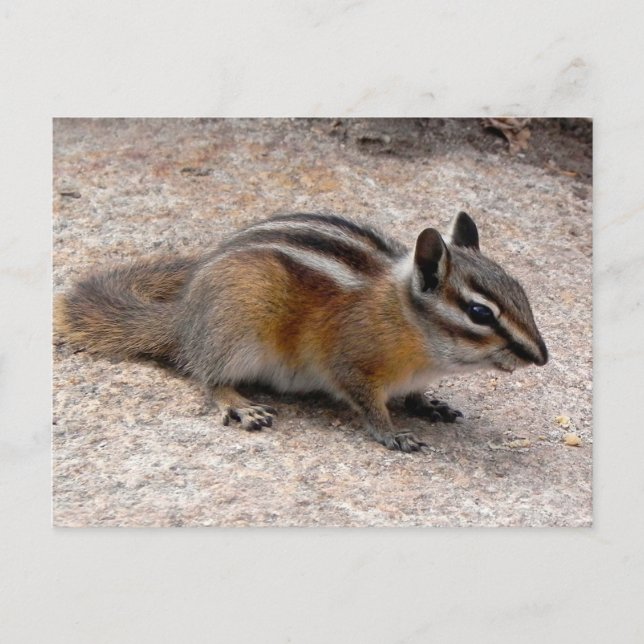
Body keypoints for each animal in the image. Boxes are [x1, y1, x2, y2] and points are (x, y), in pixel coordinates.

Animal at [54, 211, 548, 452]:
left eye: (522, 290)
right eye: (479, 313)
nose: (542, 357)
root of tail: (185, 318)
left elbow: (414, 394)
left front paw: (428, 404)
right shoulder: (348, 362)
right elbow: (368, 403)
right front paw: (391, 432)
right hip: (238, 327)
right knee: (208, 377)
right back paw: (238, 403)